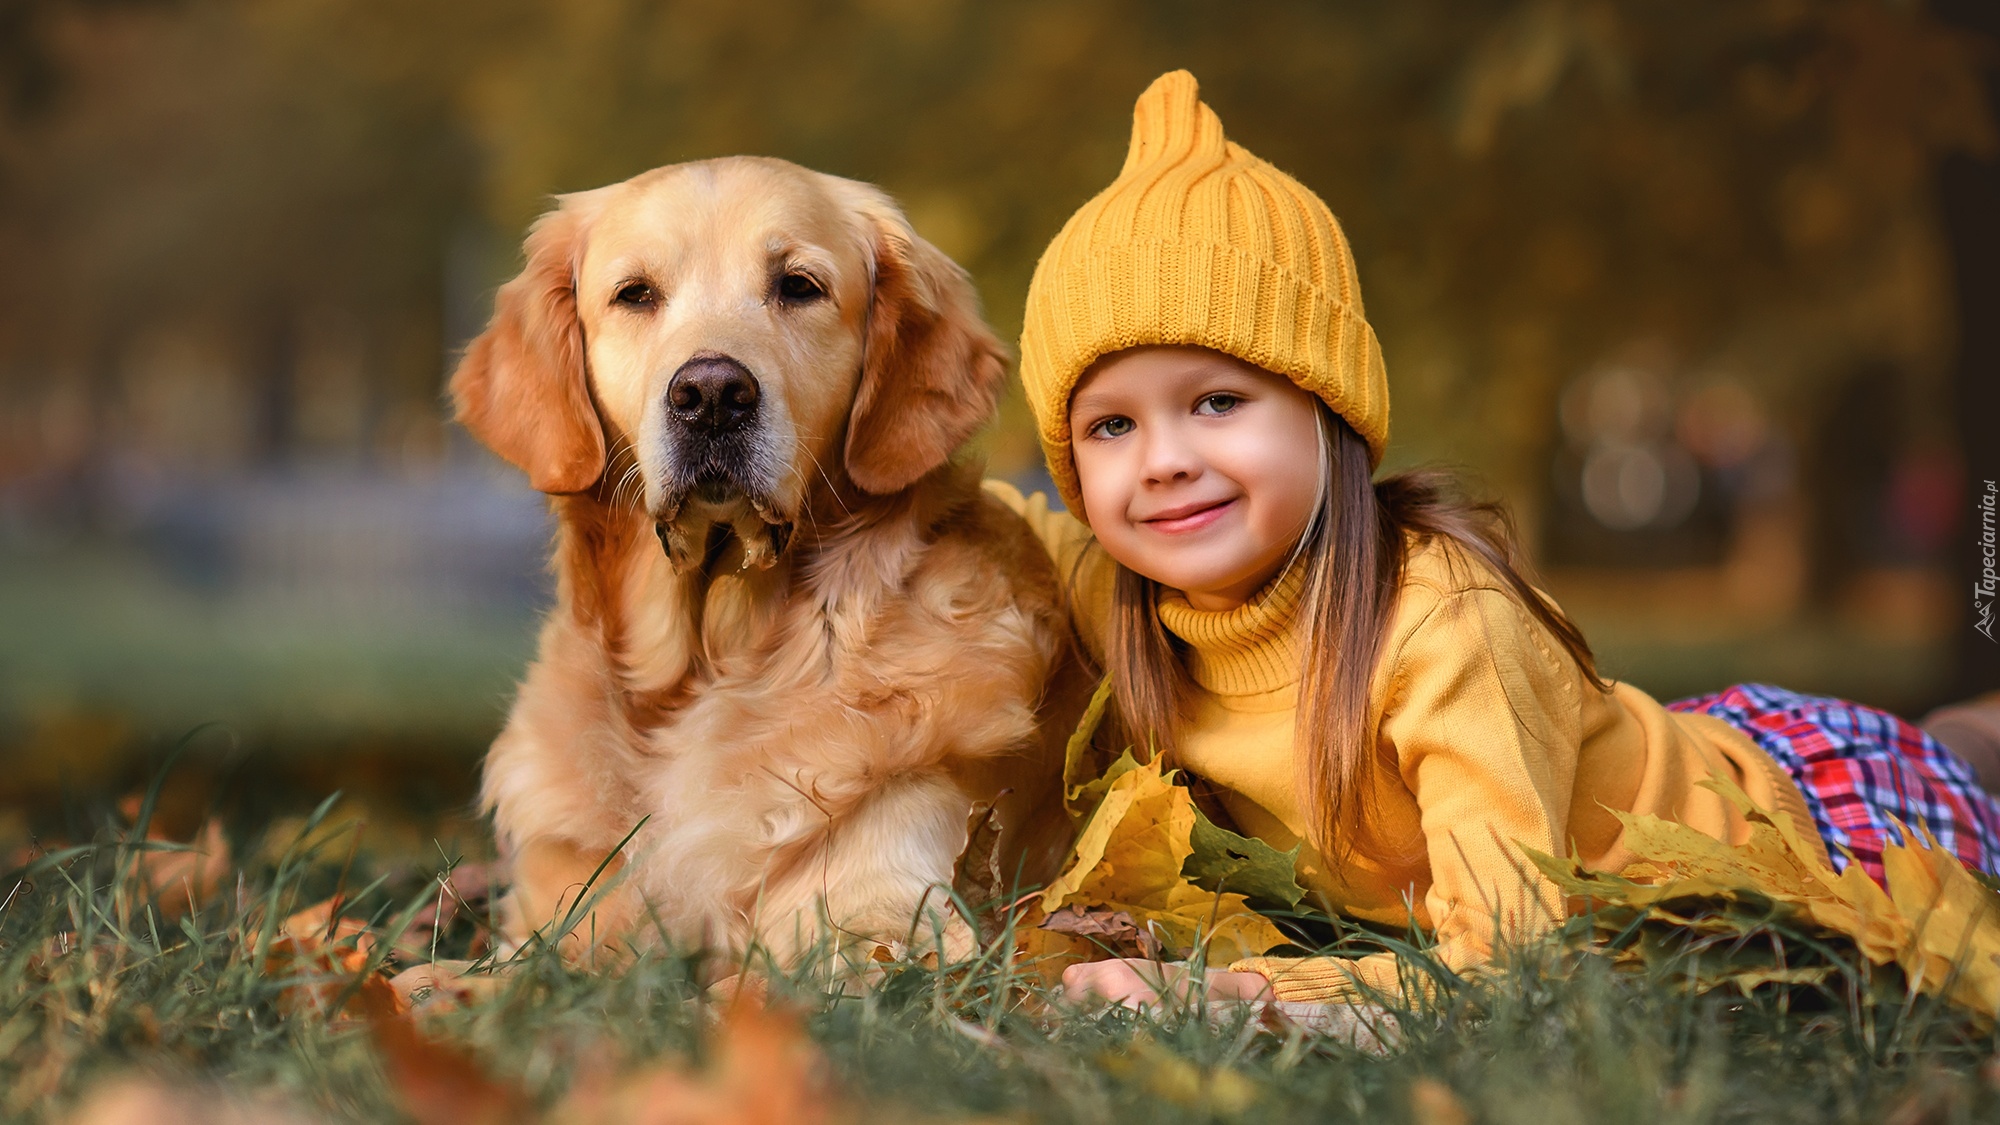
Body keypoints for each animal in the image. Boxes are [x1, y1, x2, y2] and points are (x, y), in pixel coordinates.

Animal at [448, 153, 1088, 968]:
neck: (716, 657)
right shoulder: (548, 925)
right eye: (635, 294)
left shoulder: (888, 918)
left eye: (799, 286)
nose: (711, 394)